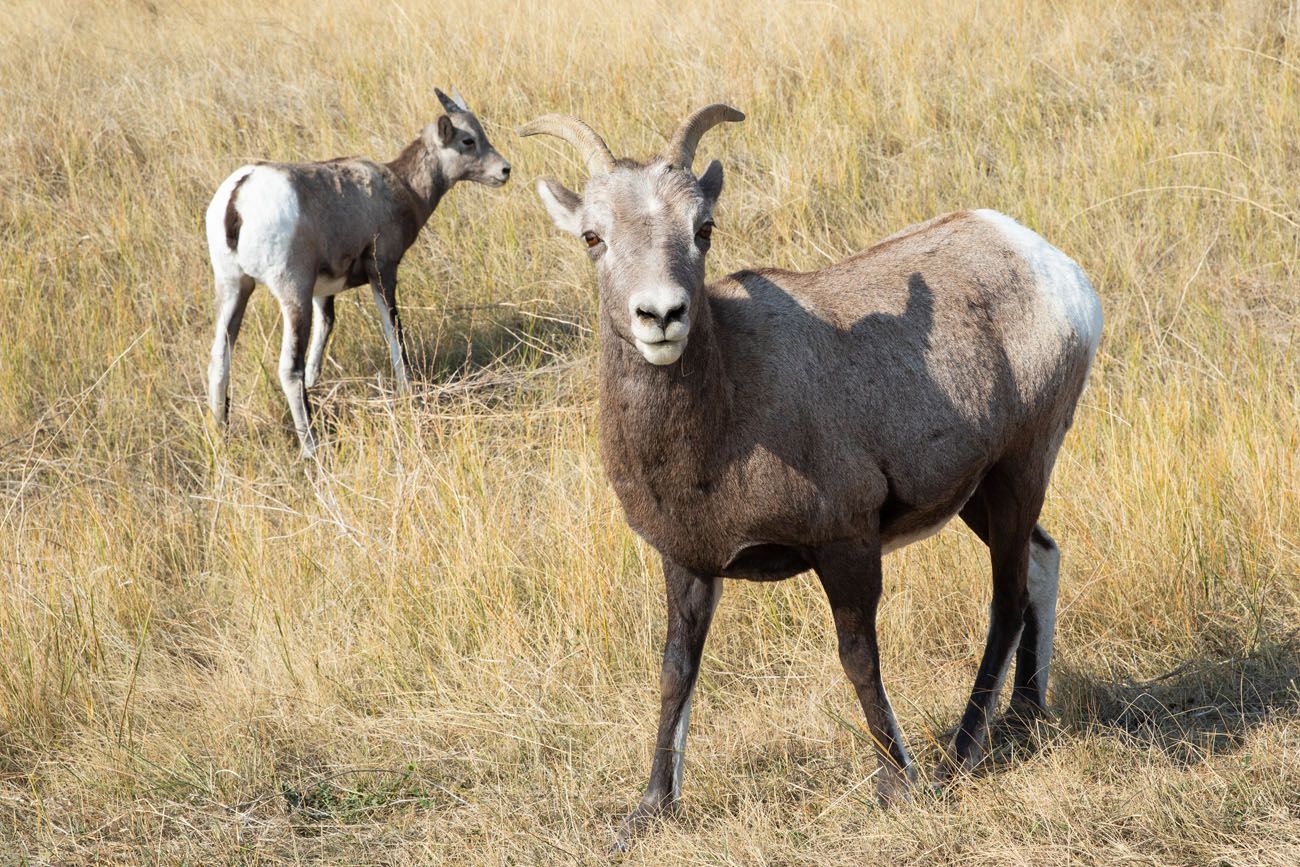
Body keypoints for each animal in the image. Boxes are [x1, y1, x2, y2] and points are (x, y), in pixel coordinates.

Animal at [201, 87, 506, 454]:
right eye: (467, 140)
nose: (505, 170)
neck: (400, 188)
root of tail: (238, 197)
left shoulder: (323, 294)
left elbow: (323, 337)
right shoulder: (382, 273)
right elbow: (394, 333)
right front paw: (408, 391)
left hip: (234, 287)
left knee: (219, 360)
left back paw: (220, 437)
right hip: (292, 294)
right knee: (288, 370)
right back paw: (311, 448)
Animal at [517, 103, 1097, 847]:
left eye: (702, 229)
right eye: (594, 236)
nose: (661, 316)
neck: (728, 412)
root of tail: (1049, 265)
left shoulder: (845, 547)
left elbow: (858, 659)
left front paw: (897, 788)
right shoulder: (689, 563)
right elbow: (677, 673)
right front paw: (649, 811)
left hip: (1021, 469)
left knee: (1007, 597)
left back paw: (963, 751)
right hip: (982, 495)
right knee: (1040, 565)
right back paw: (1023, 718)